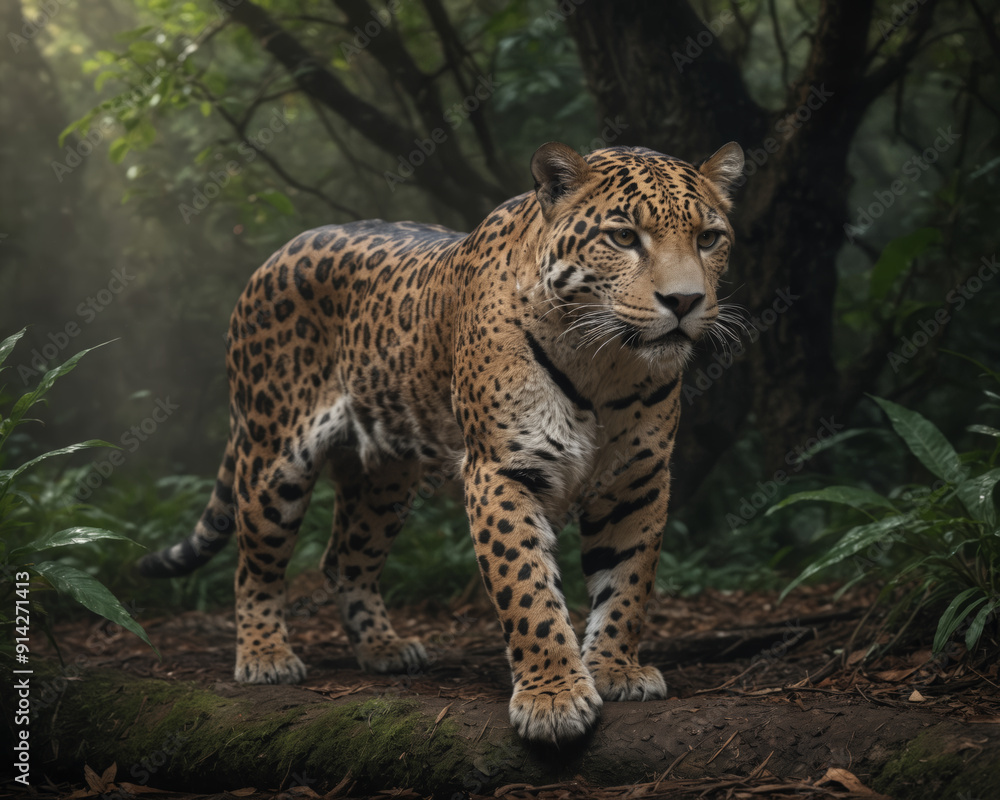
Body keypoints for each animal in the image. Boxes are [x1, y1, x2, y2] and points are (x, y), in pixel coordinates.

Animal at [139, 140, 744, 745]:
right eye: (623, 237)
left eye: (708, 238)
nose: (685, 301)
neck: (606, 363)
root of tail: (273, 256)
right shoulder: (501, 470)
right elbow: (526, 587)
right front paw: (553, 696)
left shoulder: (637, 480)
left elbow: (628, 582)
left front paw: (616, 670)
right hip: (273, 456)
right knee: (255, 564)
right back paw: (265, 656)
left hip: (383, 480)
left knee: (345, 559)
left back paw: (384, 648)